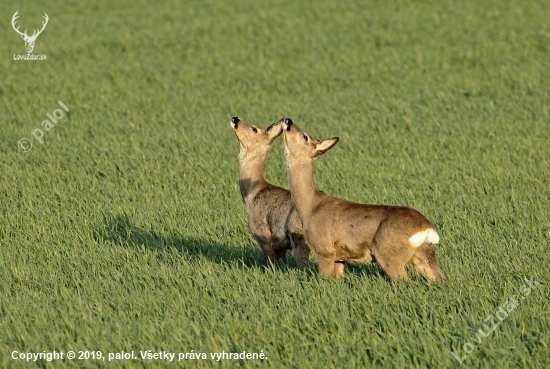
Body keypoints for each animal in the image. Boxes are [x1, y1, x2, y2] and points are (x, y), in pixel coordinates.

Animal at [231, 116, 312, 266]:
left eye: (254, 129)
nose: (235, 119)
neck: (252, 193)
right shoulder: (280, 245)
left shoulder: (262, 233)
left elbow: (269, 263)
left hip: (299, 238)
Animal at [282, 119, 446, 280]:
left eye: (305, 136)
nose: (288, 120)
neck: (310, 207)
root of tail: (427, 229)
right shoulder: (339, 257)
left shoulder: (324, 249)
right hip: (422, 256)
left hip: (388, 254)